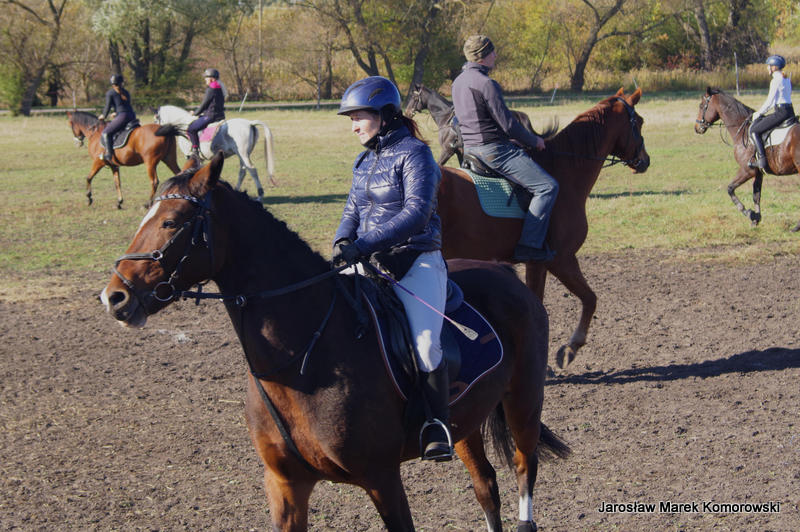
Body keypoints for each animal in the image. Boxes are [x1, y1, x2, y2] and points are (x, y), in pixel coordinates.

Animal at [100, 152, 570, 531]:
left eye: (171, 223)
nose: (115, 296)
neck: (300, 362)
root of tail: (503, 273)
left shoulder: (382, 478)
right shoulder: (286, 484)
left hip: (524, 401)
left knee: (523, 469)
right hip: (463, 422)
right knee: (485, 485)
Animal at [437, 88, 650, 372]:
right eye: (639, 122)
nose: (645, 161)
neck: (564, 171)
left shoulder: (537, 263)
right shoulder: (561, 259)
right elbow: (589, 298)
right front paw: (570, 348)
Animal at [694, 86, 800, 231]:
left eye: (701, 106)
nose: (697, 128)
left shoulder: (747, 171)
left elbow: (730, 189)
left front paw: (749, 213)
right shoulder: (758, 173)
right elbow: (756, 195)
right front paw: (756, 219)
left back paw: (796, 227)